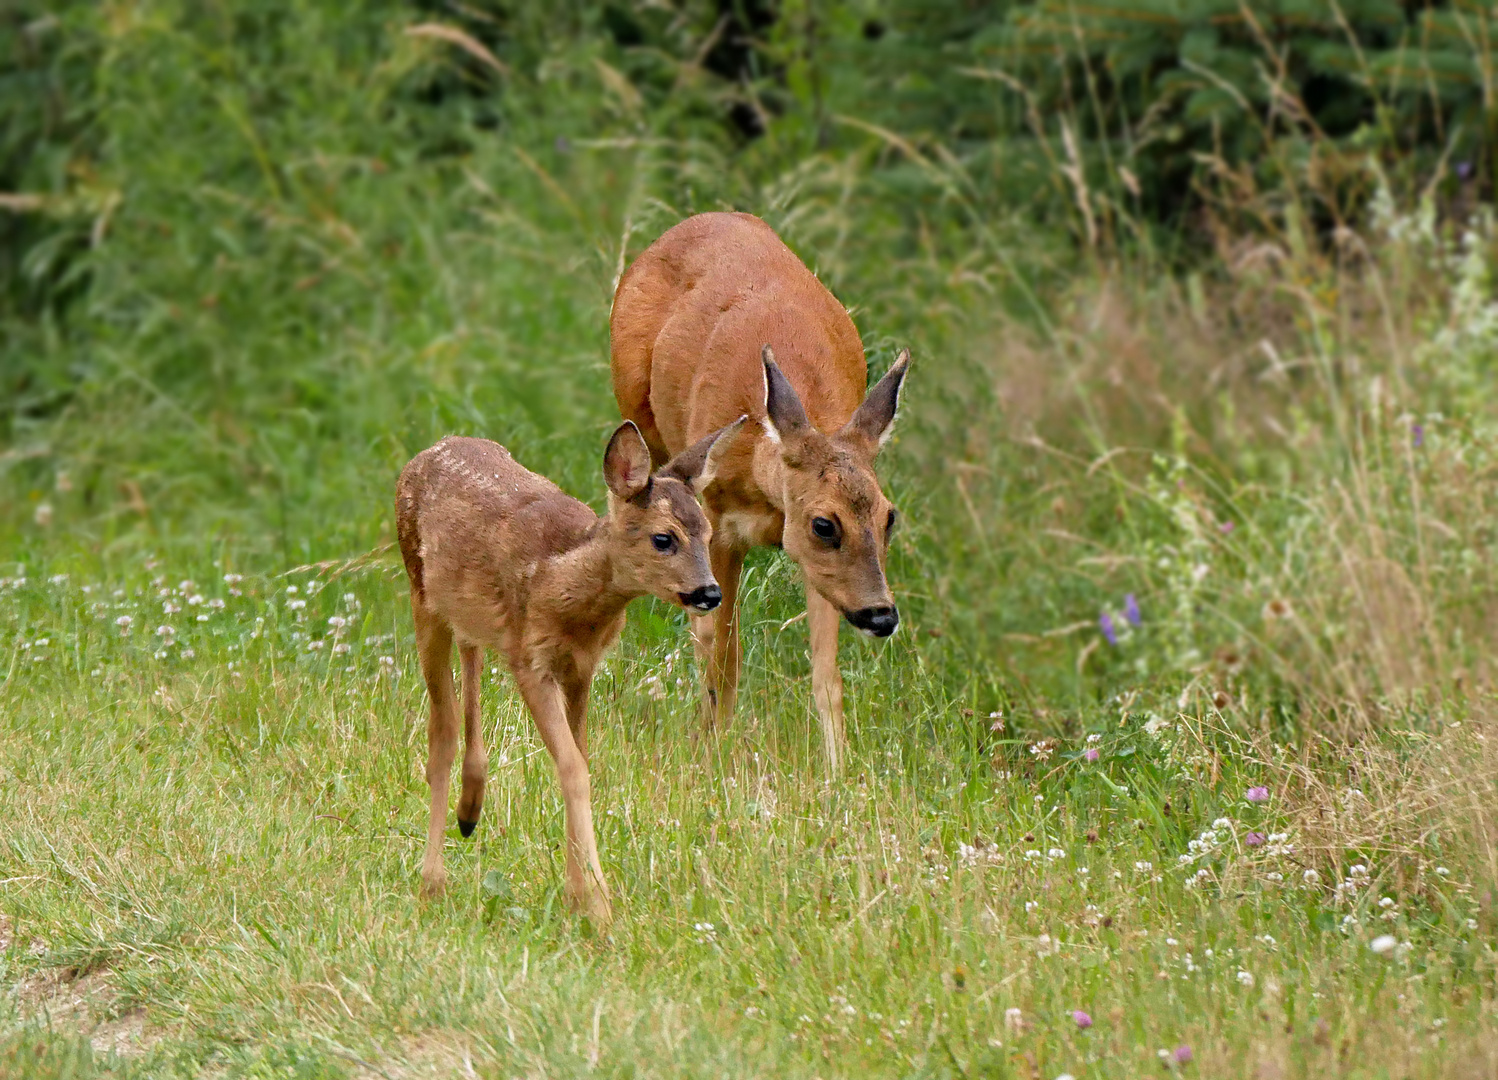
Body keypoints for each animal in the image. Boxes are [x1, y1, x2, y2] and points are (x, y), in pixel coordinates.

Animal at [395, 416, 740, 922]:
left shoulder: (581, 668)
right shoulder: (530, 660)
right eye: (663, 538)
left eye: (709, 534)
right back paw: (431, 883)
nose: (709, 593)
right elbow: (574, 767)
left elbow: (578, 758)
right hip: (421, 594)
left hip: (466, 615)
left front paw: (578, 892)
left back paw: (470, 809)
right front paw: (598, 905)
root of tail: (432, 448)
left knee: (469, 660)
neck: (563, 584)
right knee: (441, 730)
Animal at [611, 211, 910, 772]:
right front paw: (711, 755)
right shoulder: (718, 527)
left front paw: (840, 771)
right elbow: (725, 655)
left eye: (890, 516)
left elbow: (827, 674)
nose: (881, 616)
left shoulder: (812, 561)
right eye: (824, 522)